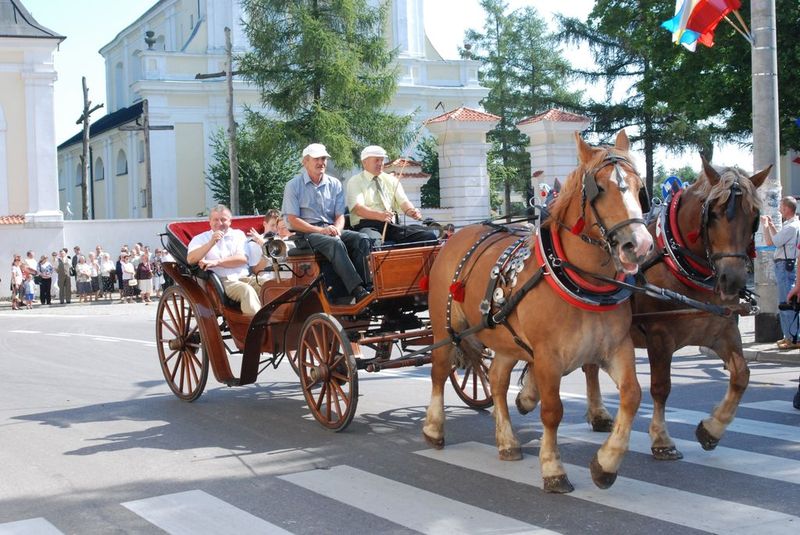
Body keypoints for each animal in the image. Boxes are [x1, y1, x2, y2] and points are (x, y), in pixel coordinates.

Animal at [422, 130, 654, 493]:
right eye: (599, 188)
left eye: (637, 185)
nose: (639, 245)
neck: (579, 280)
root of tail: (456, 233)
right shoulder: (547, 356)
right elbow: (552, 411)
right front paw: (553, 468)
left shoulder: (616, 348)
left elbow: (631, 395)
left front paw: (606, 463)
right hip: (446, 327)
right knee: (439, 371)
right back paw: (434, 428)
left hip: (503, 338)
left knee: (497, 380)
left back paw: (507, 441)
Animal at [516, 158, 770, 461]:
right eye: (715, 213)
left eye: (754, 216)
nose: (733, 280)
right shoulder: (660, 336)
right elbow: (661, 387)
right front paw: (662, 439)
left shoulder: (723, 330)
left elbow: (741, 376)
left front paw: (712, 429)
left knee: (587, 366)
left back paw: (594, 413)